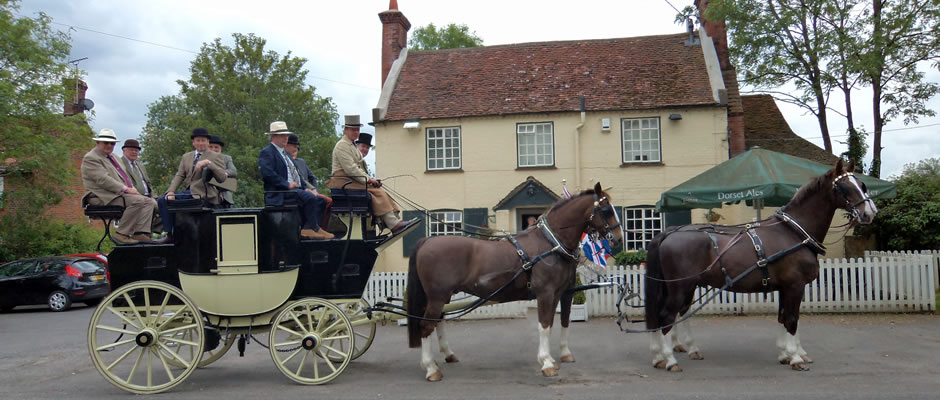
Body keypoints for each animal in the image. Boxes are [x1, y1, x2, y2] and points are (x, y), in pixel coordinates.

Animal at [406, 182, 620, 382]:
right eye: (606, 209)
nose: (618, 239)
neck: (550, 243)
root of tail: (427, 241)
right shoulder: (546, 293)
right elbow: (544, 325)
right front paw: (546, 362)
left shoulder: (558, 293)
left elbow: (554, 323)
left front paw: (552, 359)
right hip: (437, 297)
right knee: (426, 326)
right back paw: (431, 368)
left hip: (443, 297)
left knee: (437, 322)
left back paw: (442, 358)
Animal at [644, 159, 876, 372]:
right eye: (844, 186)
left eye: (862, 185)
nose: (870, 213)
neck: (794, 232)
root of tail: (668, 234)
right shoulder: (795, 285)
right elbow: (792, 319)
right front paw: (796, 358)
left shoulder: (785, 287)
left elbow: (784, 317)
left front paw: (785, 354)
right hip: (679, 287)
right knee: (666, 316)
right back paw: (670, 360)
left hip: (685, 287)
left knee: (673, 314)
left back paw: (665, 355)